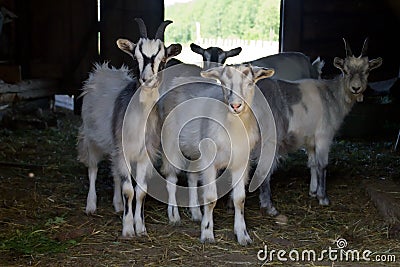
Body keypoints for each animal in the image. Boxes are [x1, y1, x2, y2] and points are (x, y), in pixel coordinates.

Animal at [77, 17, 183, 238]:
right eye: (136, 57)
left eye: (163, 60)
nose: (147, 79)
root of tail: (103, 70)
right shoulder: (124, 150)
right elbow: (129, 190)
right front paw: (127, 228)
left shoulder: (144, 154)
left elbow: (140, 191)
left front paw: (140, 227)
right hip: (90, 137)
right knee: (92, 168)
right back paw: (91, 205)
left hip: (114, 147)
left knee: (115, 172)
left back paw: (117, 204)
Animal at [159, 63, 276, 246]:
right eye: (224, 84)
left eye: (250, 83)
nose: (235, 105)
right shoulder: (210, 161)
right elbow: (210, 197)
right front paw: (207, 233)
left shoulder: (241, 162)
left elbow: (240, 199)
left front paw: (243, 235)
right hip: (170, 143)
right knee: (171, 179)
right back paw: (174, 216)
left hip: (196, 151)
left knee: (192, 176)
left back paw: (196, 213)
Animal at [252, 38, 382, 218]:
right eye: (345, 70)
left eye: (367, 70)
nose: (356, 88)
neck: (332, 95)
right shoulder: (324, 135)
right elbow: (322, 164)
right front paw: (323, 197)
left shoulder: (310, 139)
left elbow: (312, 163)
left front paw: (313, 191)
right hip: (270, 139)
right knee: (263, 169)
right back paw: (269, 207)